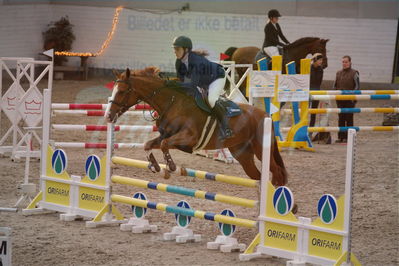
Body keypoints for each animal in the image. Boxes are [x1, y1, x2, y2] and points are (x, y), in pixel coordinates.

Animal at [104, 67, 290, 185]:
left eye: (122, 91)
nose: (108, 116)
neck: (172, 103)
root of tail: (265, 115)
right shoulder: (168, 136)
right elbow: (148, 144)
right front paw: (157, 167)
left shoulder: (189, 137)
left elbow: (164, 145)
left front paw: (171, 166)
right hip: (242, 154)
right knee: (258, 176)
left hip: (260, 149)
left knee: (276, 171)